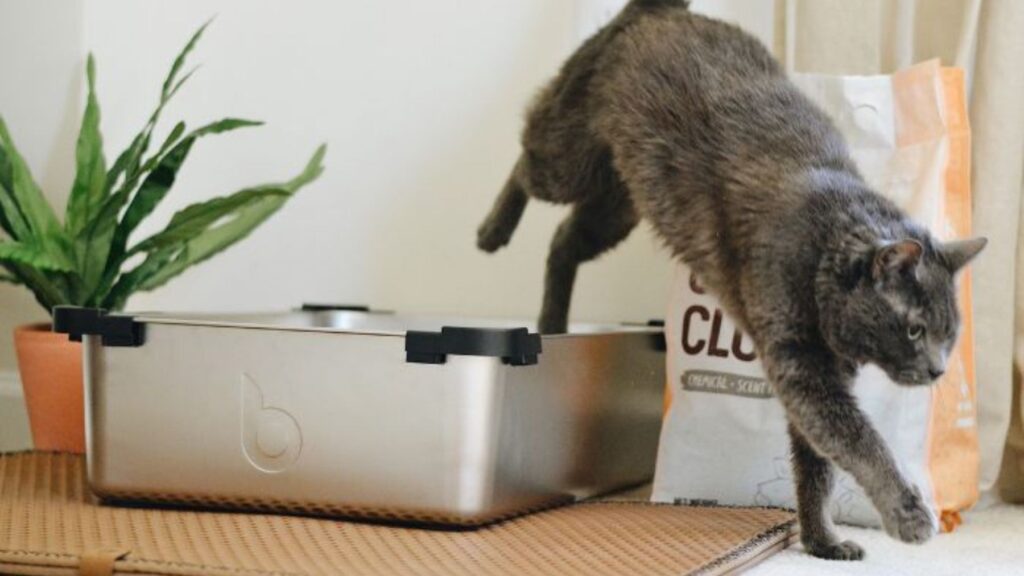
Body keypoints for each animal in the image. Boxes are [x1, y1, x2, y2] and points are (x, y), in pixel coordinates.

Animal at [475, 0, 987, 557]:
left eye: (950, 336)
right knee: (526, 162)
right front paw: (908, 515)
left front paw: (821, 541)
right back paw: (491, 232)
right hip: (571, 158)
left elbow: (816, 470)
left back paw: (552, 319)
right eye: (915, 329)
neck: (822, 252)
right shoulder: (804, 369)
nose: (938, 370)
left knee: (564, 241)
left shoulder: (815, 379)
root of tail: (663, 11)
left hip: (620, 201)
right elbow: (861, 442)